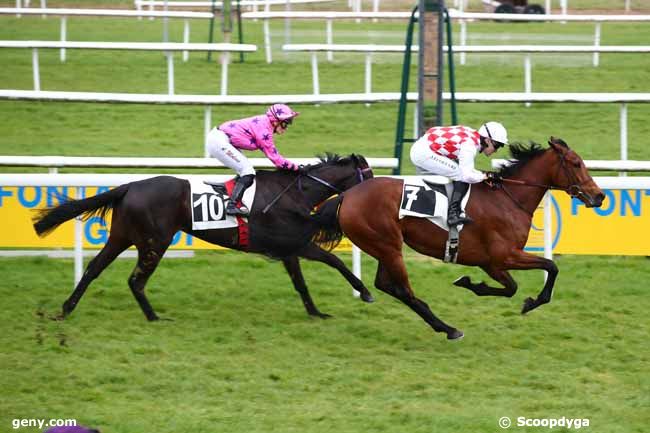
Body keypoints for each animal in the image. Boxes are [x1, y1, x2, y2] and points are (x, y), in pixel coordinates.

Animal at [33, 154, 372, 318]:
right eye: (367, 175)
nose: (376, 190)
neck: (295, 194)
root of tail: (130, 186)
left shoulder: (289, 249)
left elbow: (301, 284)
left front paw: (316, 312)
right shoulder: (297, 243)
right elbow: (335, 262)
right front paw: (365, 292)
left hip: (122, 236)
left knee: (94, 268)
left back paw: (67, 308)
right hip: (156, 241)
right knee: (135, 280)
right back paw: (154, 317)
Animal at [312, 137, 604, 340]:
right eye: (576, 164)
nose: (599, 196)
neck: (508, 198)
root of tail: (346, 196)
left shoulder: (490, 262)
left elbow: (511, 287)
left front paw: (470, 283)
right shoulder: (505, 256)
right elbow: (551, 267)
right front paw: (532, 302)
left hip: (384, 246)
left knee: (386, 284)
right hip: (388, 246)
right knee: (404, 290)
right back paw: (448, 328)